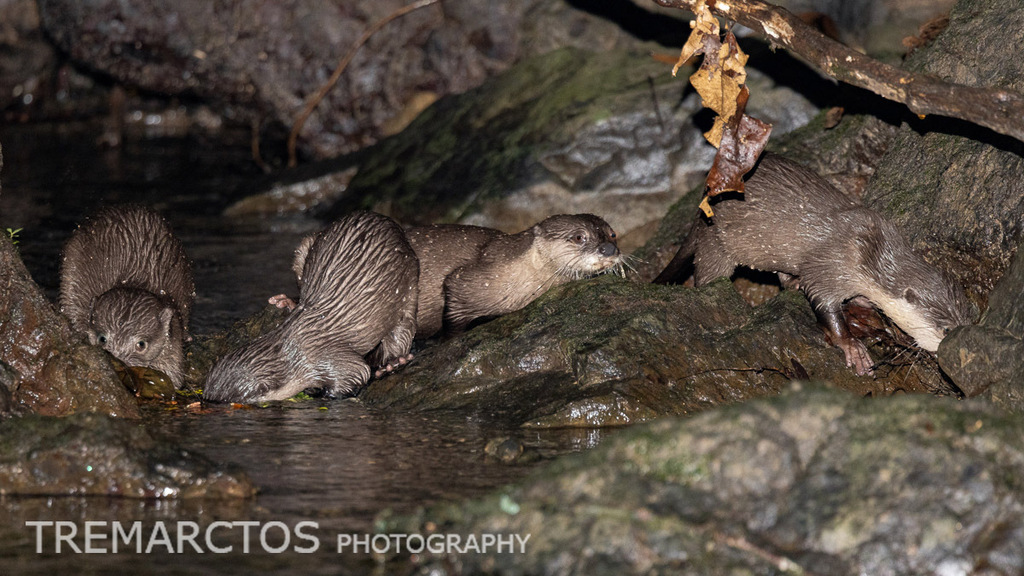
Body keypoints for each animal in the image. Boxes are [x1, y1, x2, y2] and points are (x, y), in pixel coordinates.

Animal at [59, 205, 194, 387]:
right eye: (102, 339)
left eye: (141, 344)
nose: (121, 362)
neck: (134, 282)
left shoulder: (173, 346)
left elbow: (173, 376)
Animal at [204, 211, 419, 403]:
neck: (295, 354)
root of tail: (386, 220)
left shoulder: (331, 361)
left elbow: (360, 372)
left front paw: (317, 393)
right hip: (305, 245)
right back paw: (288, 302)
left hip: (409, 282)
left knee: (403, 331)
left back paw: (393, 363)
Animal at [655, 153, 974, 375]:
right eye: (946, 331)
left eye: (965, 325)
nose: (951, 356)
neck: (869, 250)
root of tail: (704, 202)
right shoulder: (831, 264)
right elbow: (823, 299)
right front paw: (852, 347)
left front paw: (862, 301)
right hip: (716, 242)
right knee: (707, 274)